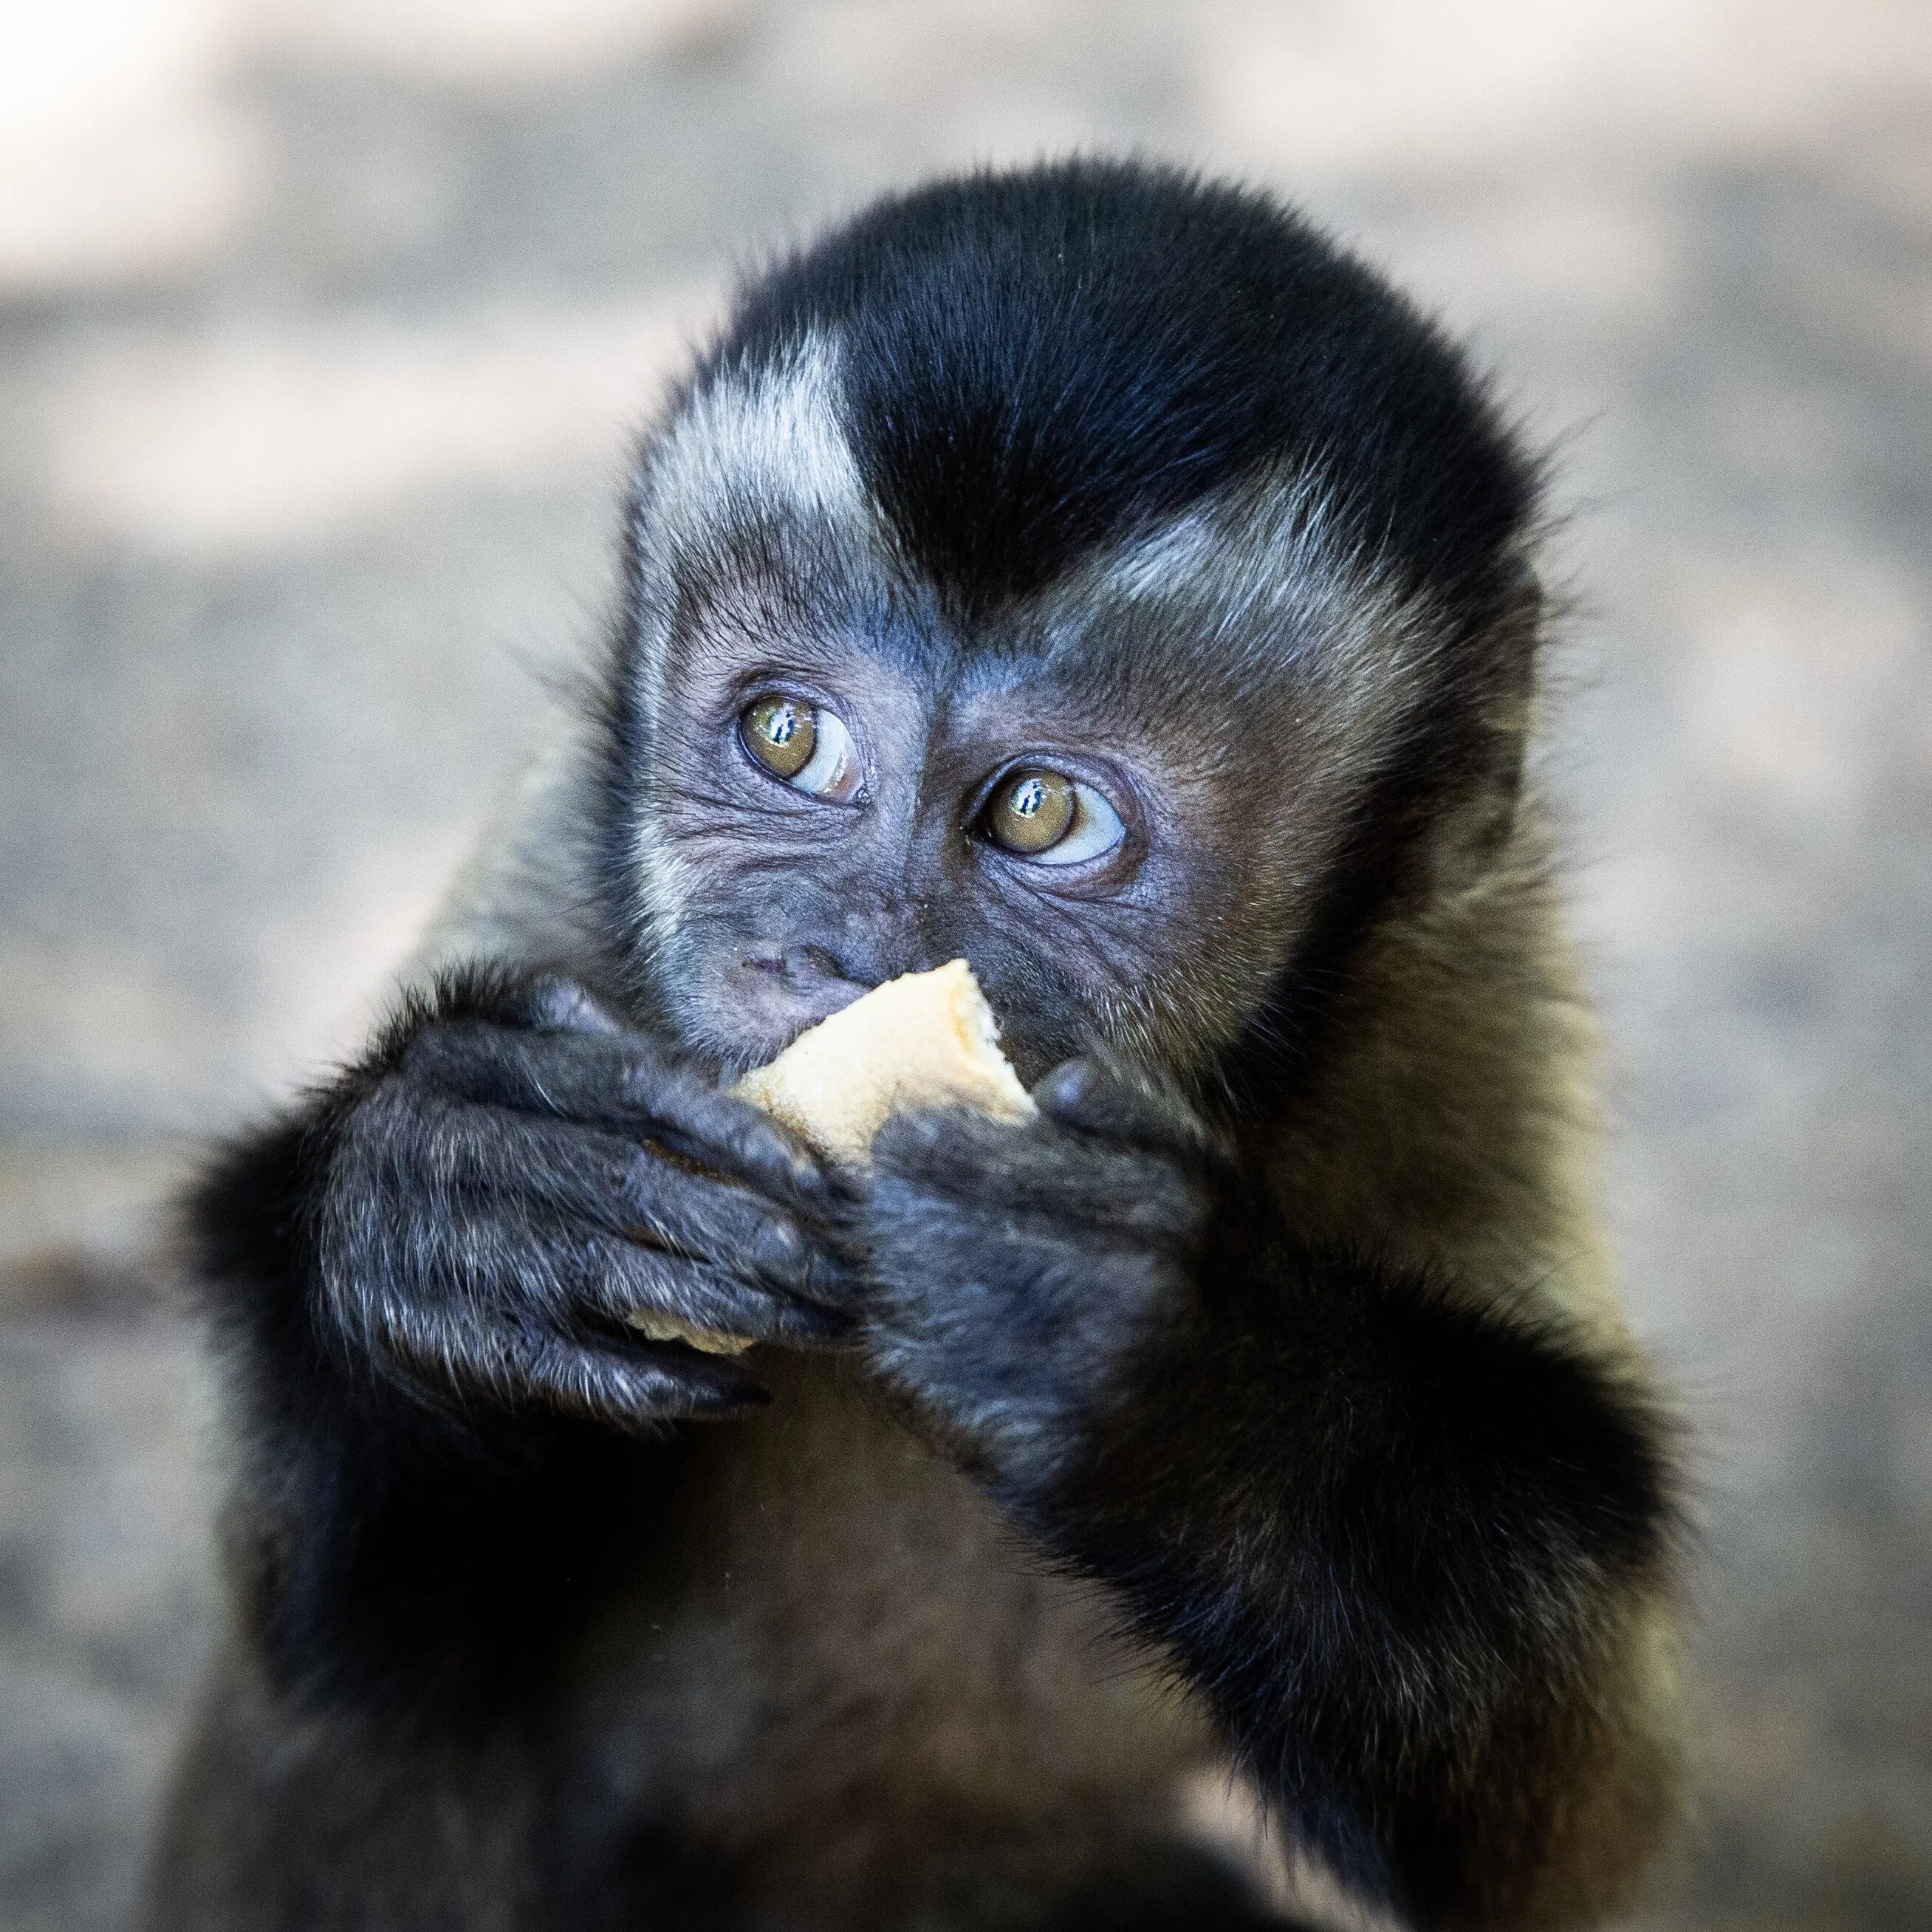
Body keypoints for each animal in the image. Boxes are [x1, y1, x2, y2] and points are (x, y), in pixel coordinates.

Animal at [146, 159, 1686, 1932]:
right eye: (787, 736)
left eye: (1042, 814)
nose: (845, 959)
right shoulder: (554, 871)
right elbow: (352, 1654)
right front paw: (463, 1207)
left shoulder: (1470, 990)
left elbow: (1571, 1822)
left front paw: (1173, 1368)